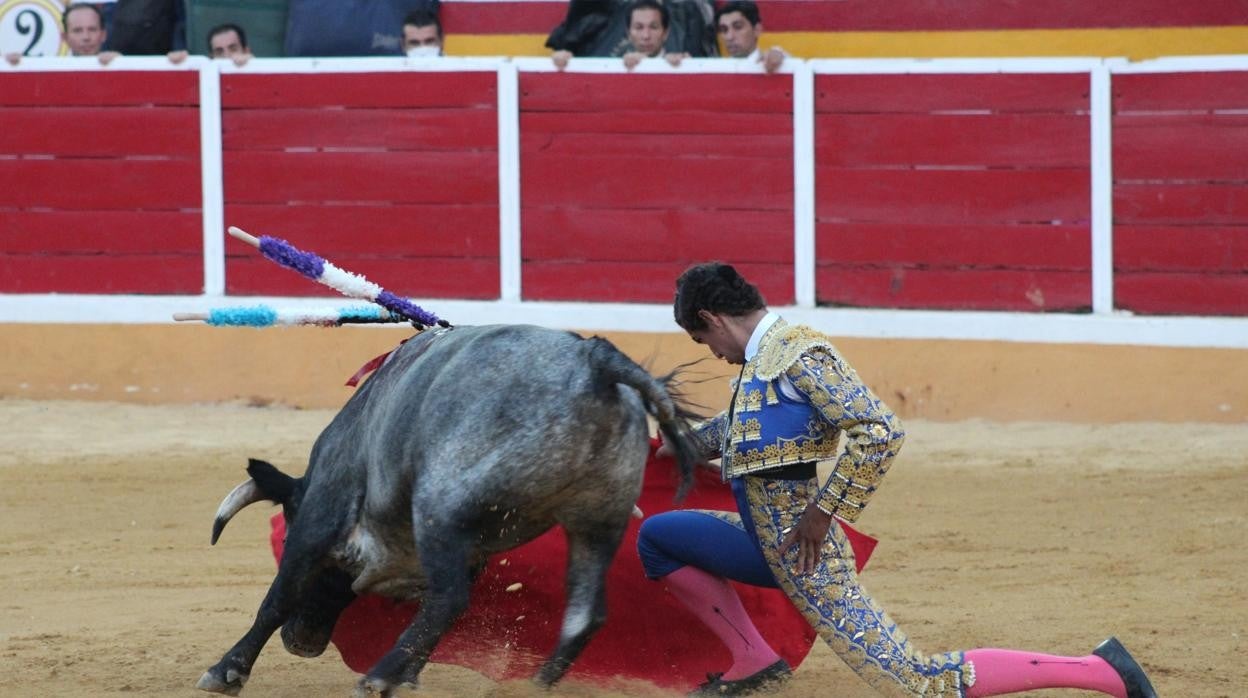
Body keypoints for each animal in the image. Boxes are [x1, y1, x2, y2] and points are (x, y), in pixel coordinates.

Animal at [195, 324, 703, 694]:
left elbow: (277, 596)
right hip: (598, 520)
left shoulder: (322, 516)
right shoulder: (473, 552)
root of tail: (597, 362)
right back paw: (534, 686)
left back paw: (378, 676)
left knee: (451, 598)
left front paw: (225, 672)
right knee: (584, 613)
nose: (302, 642)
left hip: (441, 505)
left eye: (288, 524)